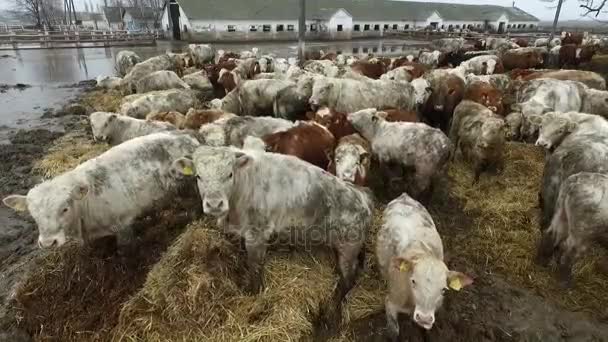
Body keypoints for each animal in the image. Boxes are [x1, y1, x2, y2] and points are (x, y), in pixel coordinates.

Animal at [169, 146, 372, 316]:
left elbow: (255, 266)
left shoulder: (257, 234)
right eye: (198, 177)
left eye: (230, 174)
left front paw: (255, 294)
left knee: (348, 278)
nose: (214, 204)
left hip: (348, 247)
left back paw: (333, 308)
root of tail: (363, 196)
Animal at [378, 192, 472, 340]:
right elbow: (394, 331)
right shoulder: (391, 301)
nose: (424, 318)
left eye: (444, 289)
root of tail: (404, 196)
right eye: (413, 281)